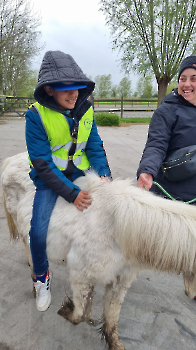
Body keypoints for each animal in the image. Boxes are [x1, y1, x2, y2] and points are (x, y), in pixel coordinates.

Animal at [1, 152, 196, 350]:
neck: (117, 228)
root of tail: (12, 159)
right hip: (25, 231)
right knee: (31, 253)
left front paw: (113, 342)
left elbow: (111, 314)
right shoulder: (80, 275)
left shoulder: (119, 281)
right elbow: (82, 313)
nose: (193, 296)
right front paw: (66, 310)